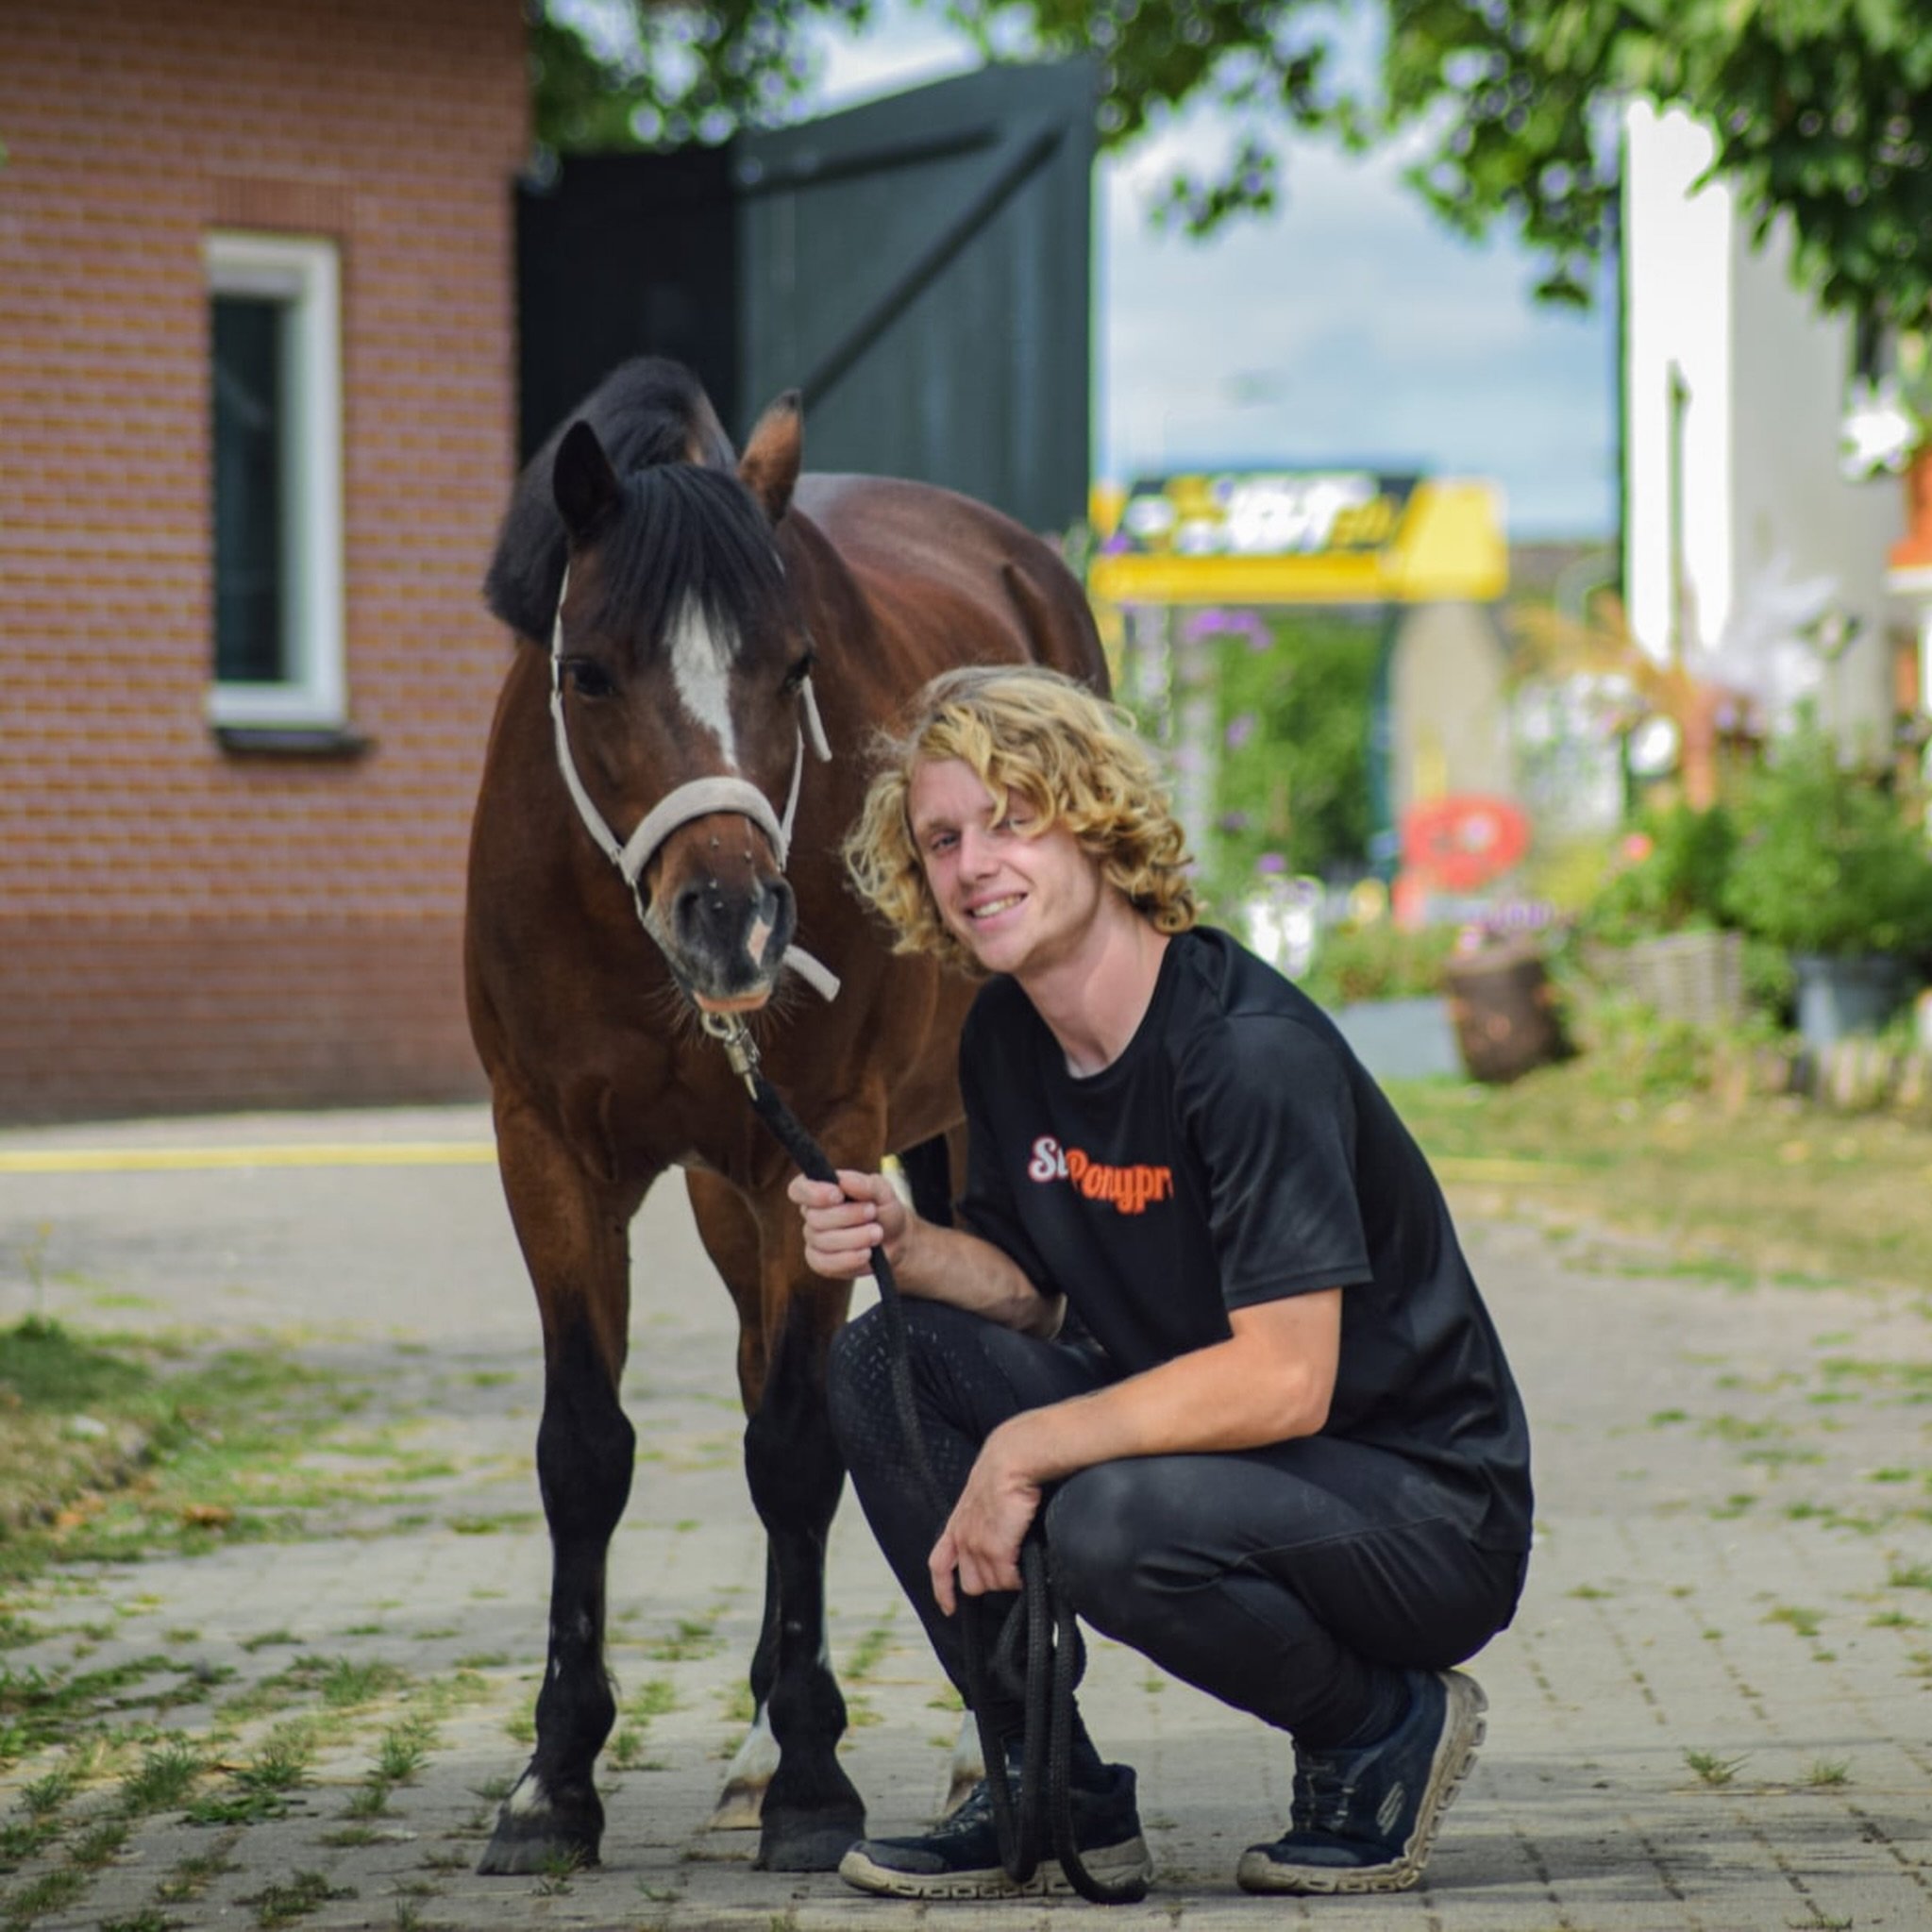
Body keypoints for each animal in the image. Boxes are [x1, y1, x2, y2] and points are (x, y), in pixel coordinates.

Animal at [462, 357, 1107, 1875]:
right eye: (589, 669)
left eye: (794, 667)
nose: (736, 920)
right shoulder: (549, 1151)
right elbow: (585, 1449)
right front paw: (555, 1777)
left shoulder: (825, 1144)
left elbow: (800, 1446)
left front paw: (816, 1778)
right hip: (727, 1188)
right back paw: (753, 1750)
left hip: (937, 1133)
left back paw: (963, 1751)